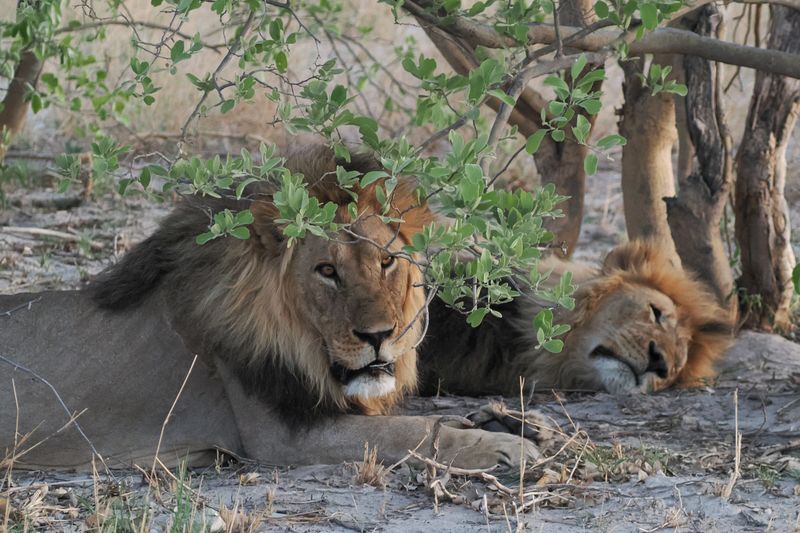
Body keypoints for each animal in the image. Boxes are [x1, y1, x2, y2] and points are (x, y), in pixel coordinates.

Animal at [0, 145, 732, 470]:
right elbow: (418, 431)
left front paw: (523, 426)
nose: (380, 335)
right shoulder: (283, 438)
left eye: (387, 263)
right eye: (326, 271)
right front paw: (503, 446)